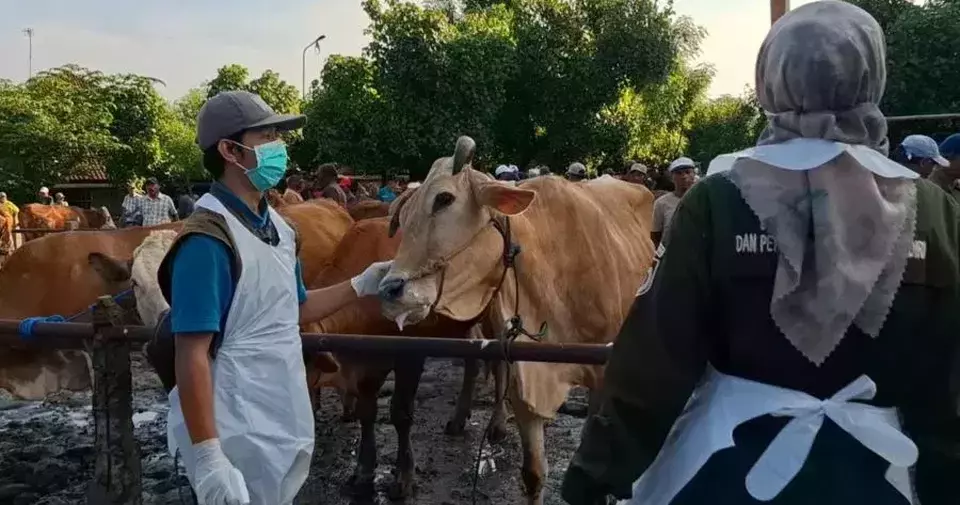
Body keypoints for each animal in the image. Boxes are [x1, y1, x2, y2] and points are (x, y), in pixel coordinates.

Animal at [378, 137, 656, 504]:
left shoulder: (604, 377)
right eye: (403, 215)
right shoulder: (524, 377)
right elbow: (534, 473)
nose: (389, 289)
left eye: (444, 199)